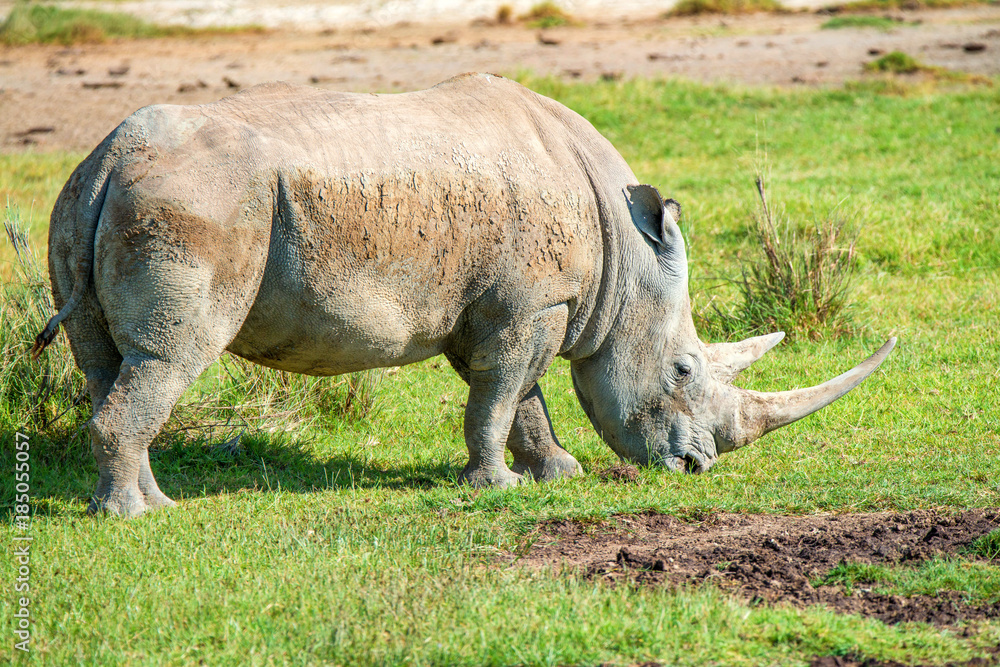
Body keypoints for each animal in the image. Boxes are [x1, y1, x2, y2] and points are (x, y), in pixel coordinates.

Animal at [35, 73, 895, 517]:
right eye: (683, 369)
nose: (695, 467)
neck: (625, 257)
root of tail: (110, 156)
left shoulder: (508, 304)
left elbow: (521, 397)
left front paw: (558, 474)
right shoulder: (531, 304)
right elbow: (502, 392)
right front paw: (499, 486)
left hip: (87, 199)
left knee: (109, 364)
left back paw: (143, 502)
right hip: (197, 199)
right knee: (171, 356)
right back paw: (140, 516)